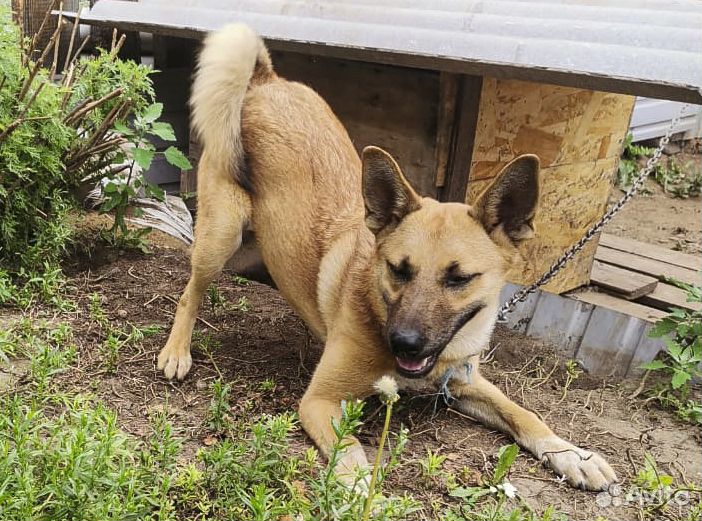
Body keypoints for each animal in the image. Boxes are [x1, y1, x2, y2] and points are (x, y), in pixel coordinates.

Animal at [158, 22, 616, 490]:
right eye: (399, 270)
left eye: (459, 278)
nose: (405, 342)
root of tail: (266, 81)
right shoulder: (320, 401)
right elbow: (353, 456)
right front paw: (364, 492)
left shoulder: (466, 380)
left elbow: (524, 414)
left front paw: (573, 454)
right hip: (221, 234)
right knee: (190, 292)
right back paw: (177, 351)